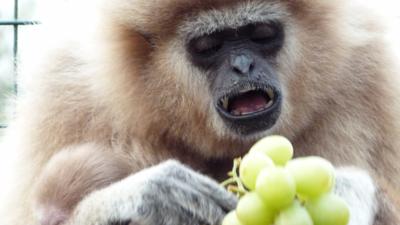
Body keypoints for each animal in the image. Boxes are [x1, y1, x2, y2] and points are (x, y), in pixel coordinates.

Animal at [0, 0, 398, 224]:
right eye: (209, 45)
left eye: (262, 33)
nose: (242, 65)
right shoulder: (64, 87)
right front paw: (139, 199)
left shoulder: (378, 70)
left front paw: (346, 188)